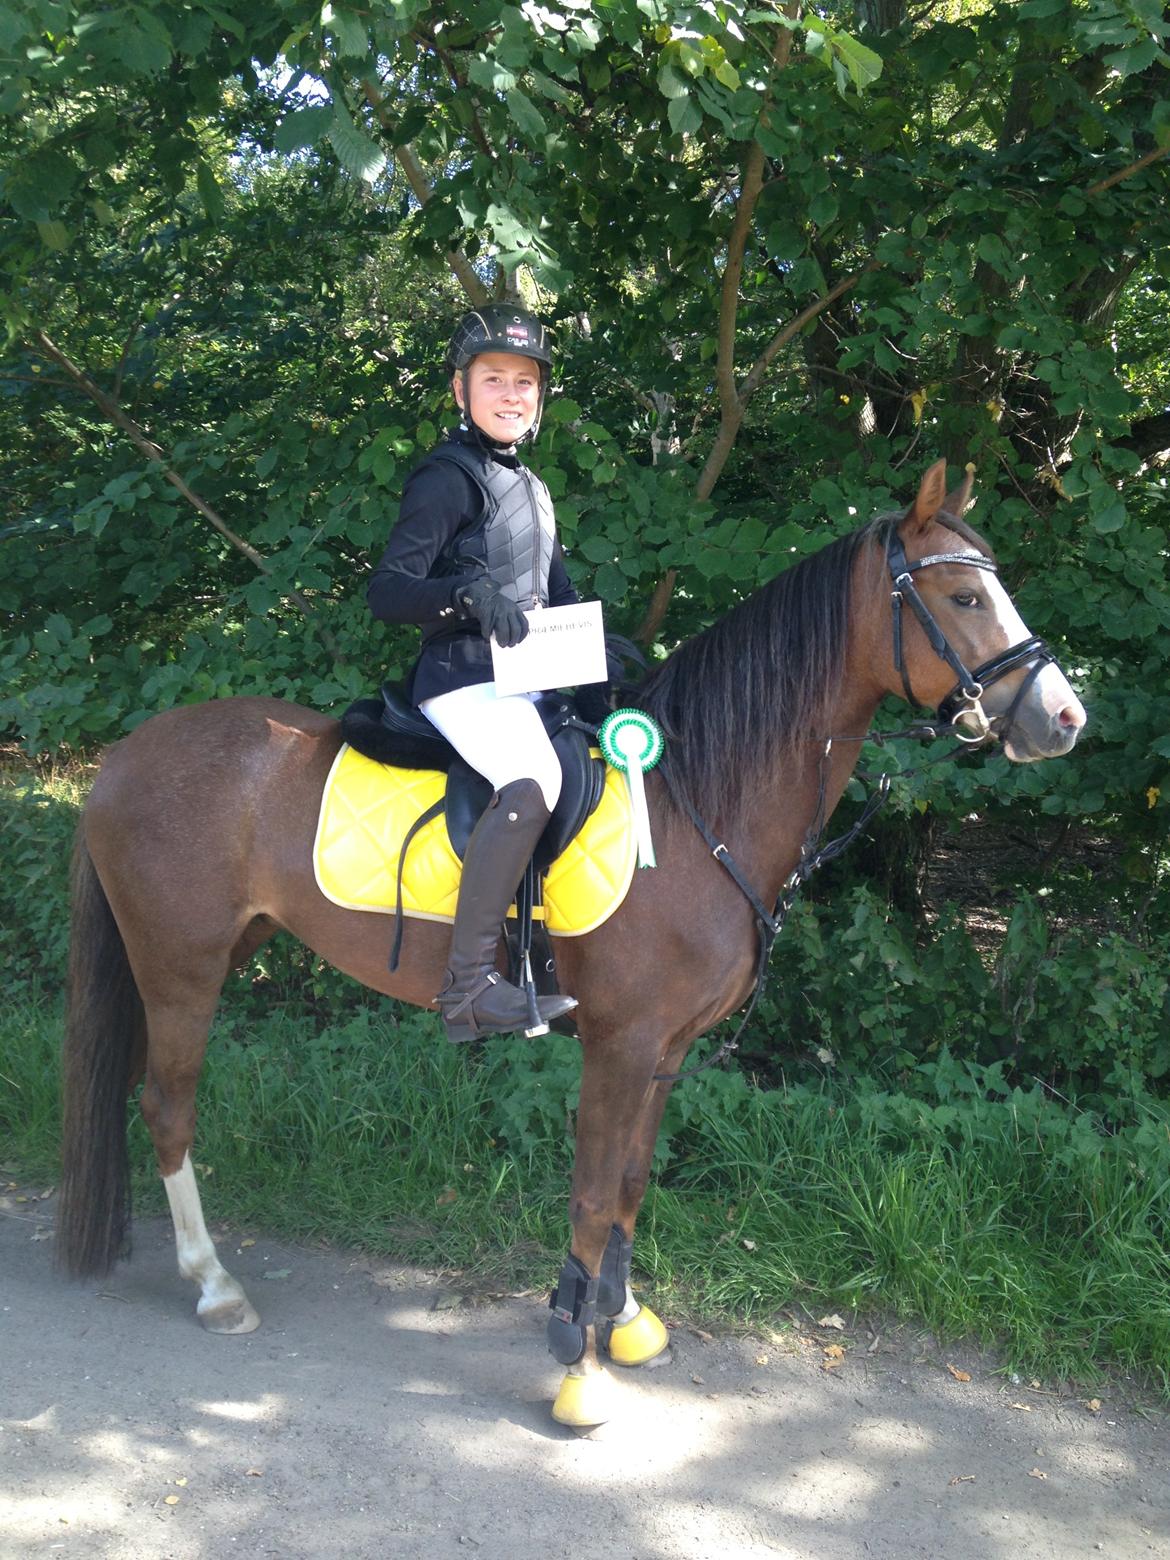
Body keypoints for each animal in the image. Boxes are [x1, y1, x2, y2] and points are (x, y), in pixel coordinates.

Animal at [57, 460, 1086, 1427]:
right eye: (964, 599)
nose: (1064, 719)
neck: (696, 798)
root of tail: (122, 758)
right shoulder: (620, 1045)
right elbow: (593, 1194)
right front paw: (579, 1371)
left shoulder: (666, 1050)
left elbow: (629, 1182)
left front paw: (618, 1322)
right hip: (182, 968)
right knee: (168, 1108)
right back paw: (214, 1284)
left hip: (211, 955)